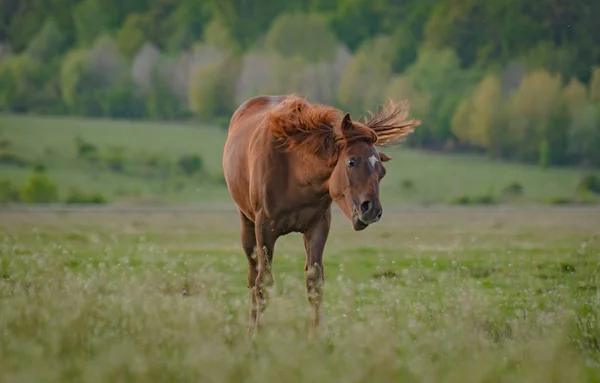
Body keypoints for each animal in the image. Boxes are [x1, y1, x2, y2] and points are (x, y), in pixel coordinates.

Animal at [221, 94, 422, 338]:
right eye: (351, 161)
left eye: (381, 173)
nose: (372, 210)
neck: (294, 169)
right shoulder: (265, 228)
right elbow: (263, 281)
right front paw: (258, 334)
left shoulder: (318, 227)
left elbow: (314, 281)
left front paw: (316, 334)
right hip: (247, 225)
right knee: (253, 276)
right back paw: (251, 327)